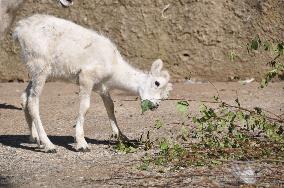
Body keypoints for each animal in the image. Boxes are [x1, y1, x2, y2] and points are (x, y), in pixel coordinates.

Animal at [13, 14, 172, 153]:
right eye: (157, 83)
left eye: (165, 95)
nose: (155, 106)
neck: (115, 68)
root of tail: (19, 30)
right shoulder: (86, 77)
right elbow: (85, 107)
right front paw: (82, 144)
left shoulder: (100, 86)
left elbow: (110, 106)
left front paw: (121, 136)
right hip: (40, 66)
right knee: (33, 101)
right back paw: (48, 145)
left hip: (37, 71)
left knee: (25, 97)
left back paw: (35, 139)